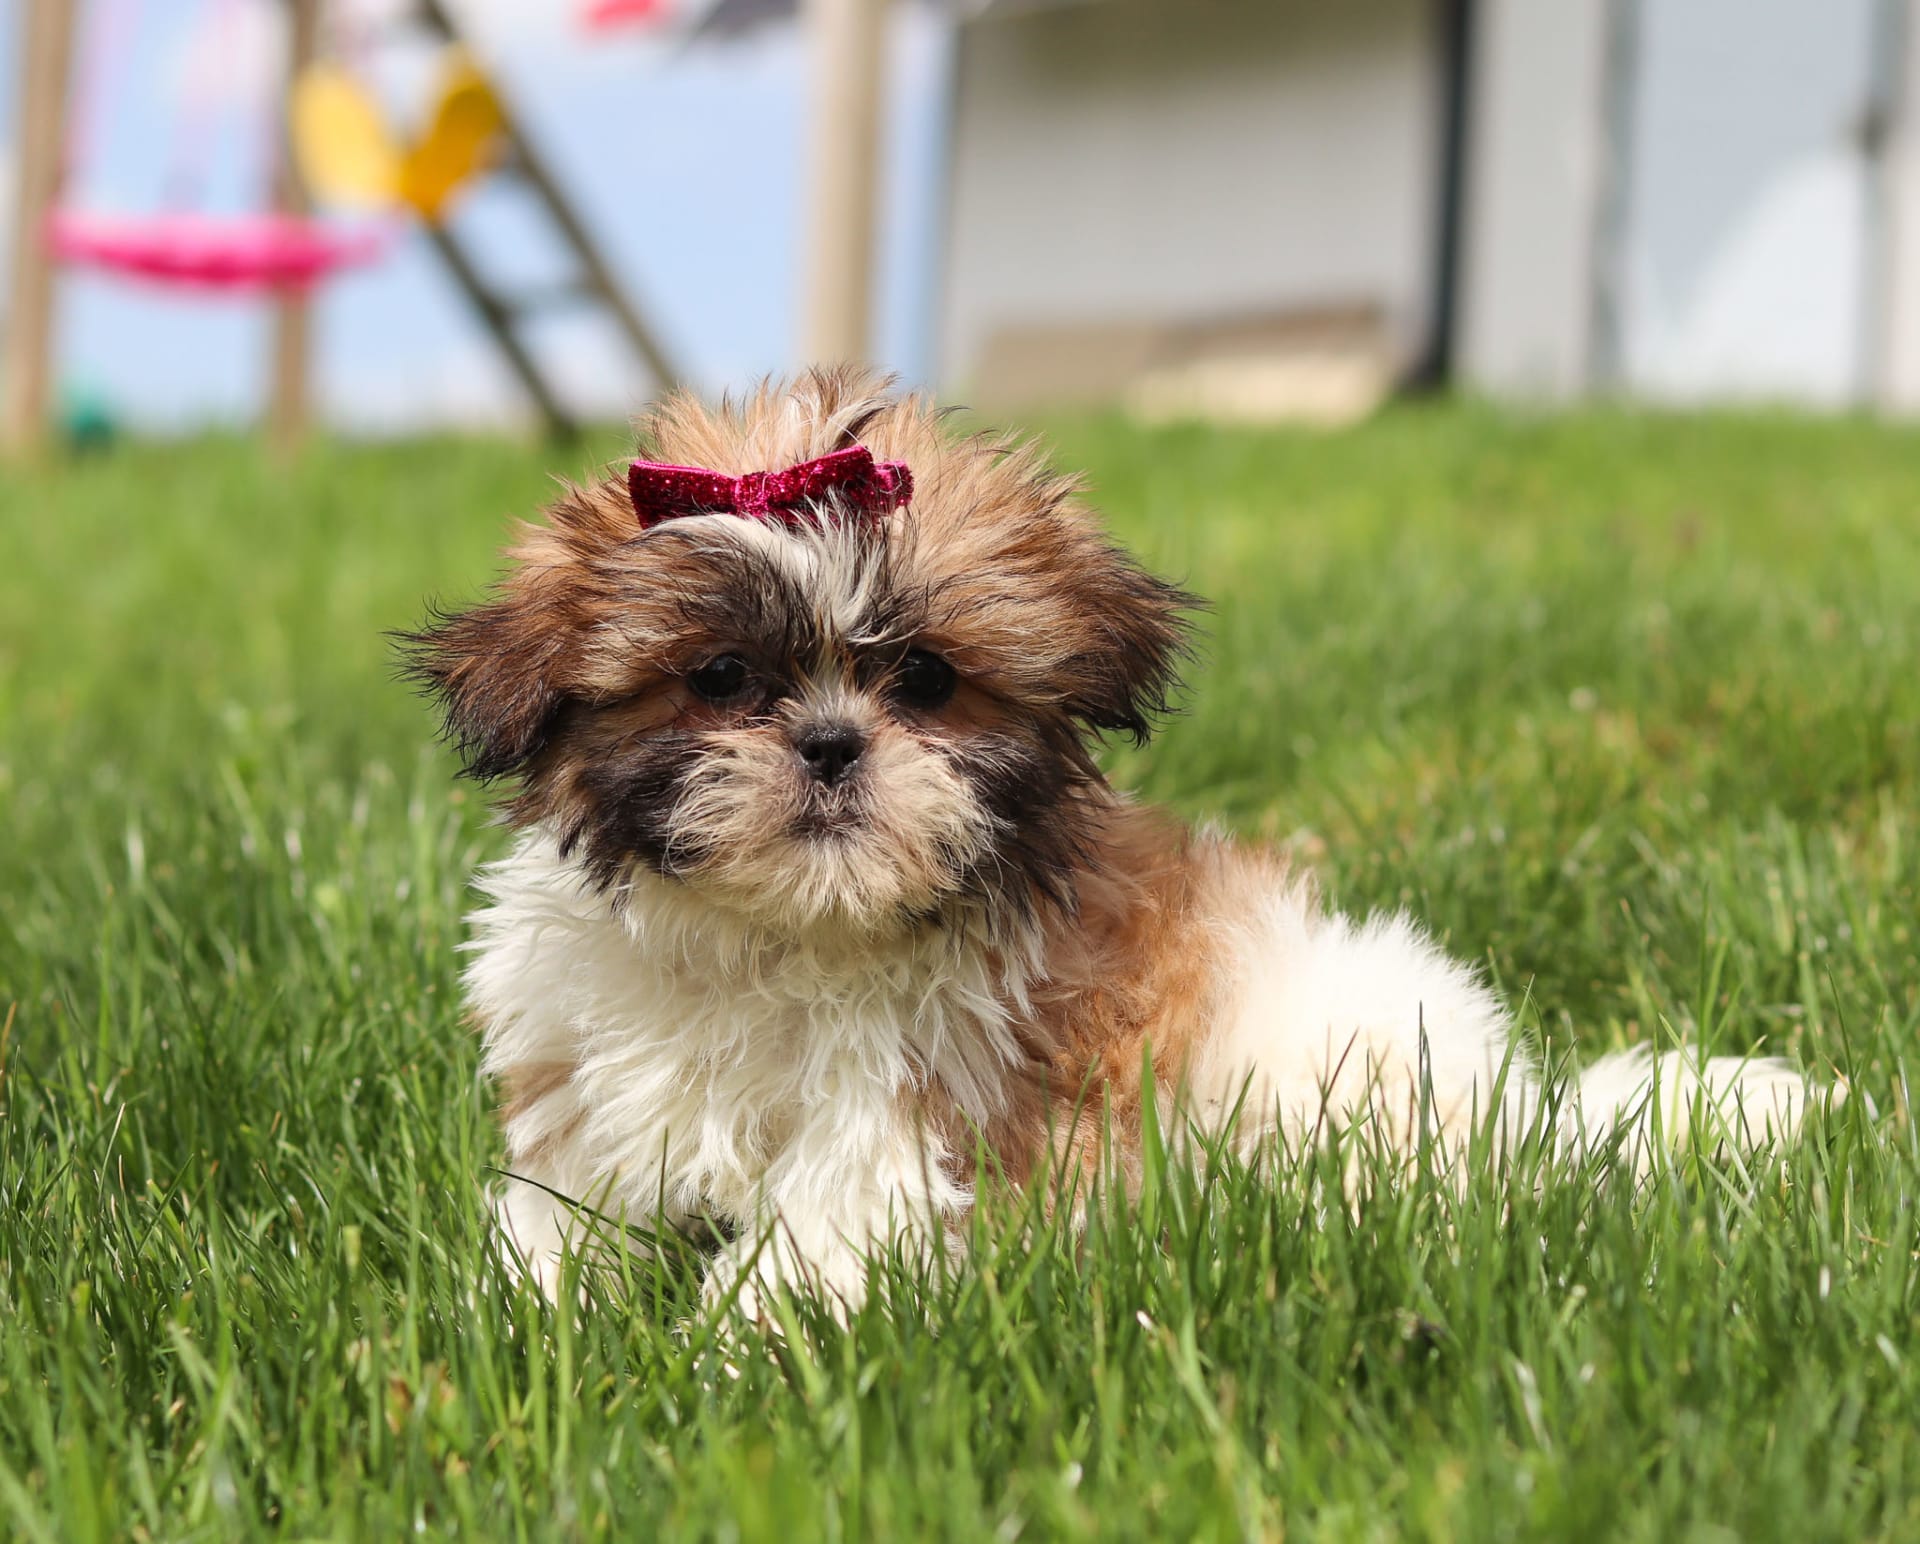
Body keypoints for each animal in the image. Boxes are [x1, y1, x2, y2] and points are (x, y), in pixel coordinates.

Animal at [412, 368, 1835, 1305]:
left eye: (924, 679)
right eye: (718, 677)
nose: (828, 743)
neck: (779, 934)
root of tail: (1524, 1111)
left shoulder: (902, 1107)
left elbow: (816, 1241)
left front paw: (728, 1368)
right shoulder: (582, 1071)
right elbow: (562, 1214)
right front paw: (527, 1324)